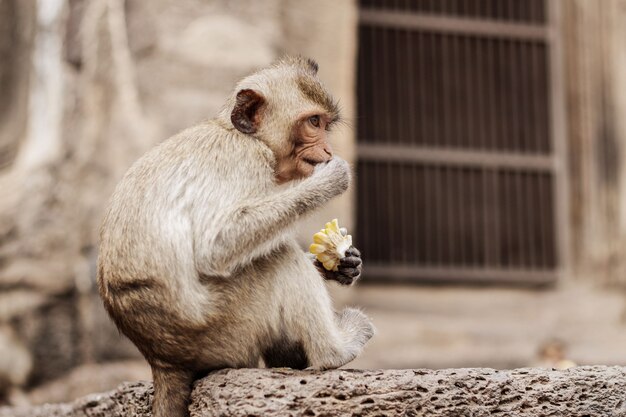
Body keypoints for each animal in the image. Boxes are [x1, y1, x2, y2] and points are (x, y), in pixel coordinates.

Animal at [95, 56, 372, 416]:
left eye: (326, 124)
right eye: (313, 122)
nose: (327, 149)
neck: (242, 135)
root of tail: (162, 360)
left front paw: (341, 264)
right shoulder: (246, 160)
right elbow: (217, 245)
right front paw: (330, 179)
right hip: (225, 329)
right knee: (279, 258)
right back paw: (334, 351)